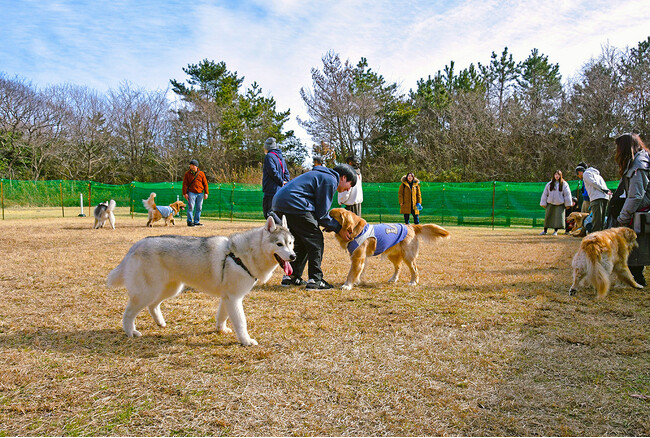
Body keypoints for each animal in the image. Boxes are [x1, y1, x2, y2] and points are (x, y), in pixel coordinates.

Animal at [107, 216, 296, 346]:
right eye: (279, 244)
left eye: (291, 243)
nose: (293, 256)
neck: (241, 256)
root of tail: (137, 245)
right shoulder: (234, 298)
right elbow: (241, 322)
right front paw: (246, 341)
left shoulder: (228, 298)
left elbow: (222, 316)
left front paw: (221, 330)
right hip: (147, 292)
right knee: (128, 313)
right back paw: (130, 332)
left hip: (170, 289)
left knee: (153, 305)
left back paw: (160, 323)